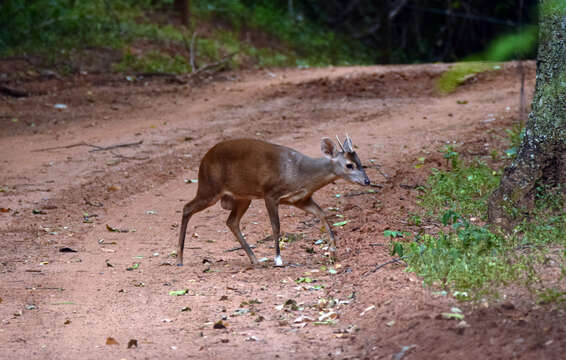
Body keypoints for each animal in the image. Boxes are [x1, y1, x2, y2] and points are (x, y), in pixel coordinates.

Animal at [179, 136, 372, 266]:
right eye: (349, 165)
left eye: (360, 162)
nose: (367, 181)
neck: (300, 174)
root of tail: (203, 160)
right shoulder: (270, 194)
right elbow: (276, 226)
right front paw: (278, 259)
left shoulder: (301, 199)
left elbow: (322, 214)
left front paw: (333, 250)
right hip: (209, 187)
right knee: (187, 207)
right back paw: (179, 258)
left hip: (242, 197)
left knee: (231, 221)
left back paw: (255, 259)